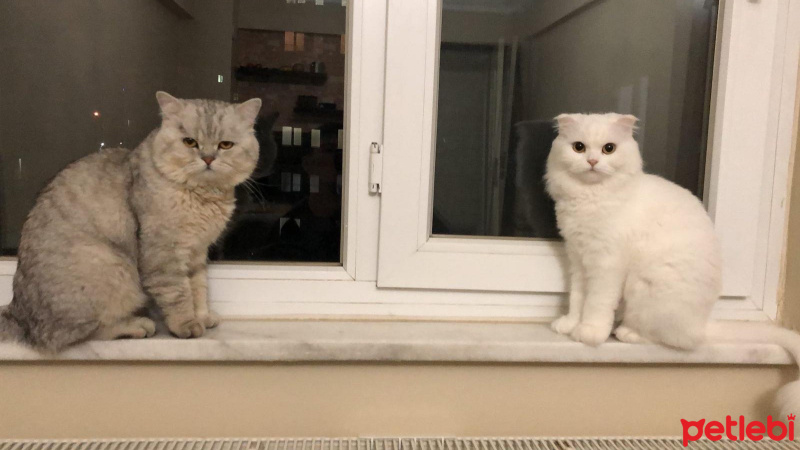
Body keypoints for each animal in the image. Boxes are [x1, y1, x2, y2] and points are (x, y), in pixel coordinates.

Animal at [0, 91, 260, 352]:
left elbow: (198, 288)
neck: (202, 195)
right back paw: (137, 325)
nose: (207, 158)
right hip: (113, 268)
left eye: (225, 145)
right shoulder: (165, 253)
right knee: (83, 333)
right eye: (189, 142)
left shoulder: (197, 252)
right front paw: (187, 324)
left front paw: (203, 317)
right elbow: (179, 294)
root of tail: (19, 317)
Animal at [548, 112, 800, 414]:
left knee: (670, 339)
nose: (593, 161)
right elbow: (577, 300)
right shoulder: (578, 259)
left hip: (643, 290)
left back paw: (626, 333)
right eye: (579, 147)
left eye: (609, 148)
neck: (591, 198)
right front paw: (569, 325)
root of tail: (702, 325)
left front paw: (589, 332)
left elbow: (595, 304)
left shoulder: (606, 265)